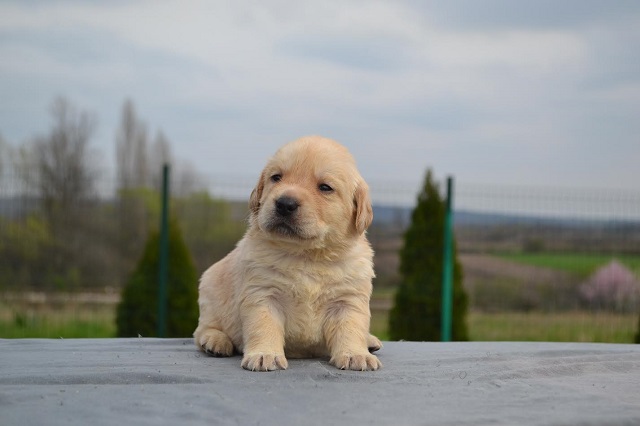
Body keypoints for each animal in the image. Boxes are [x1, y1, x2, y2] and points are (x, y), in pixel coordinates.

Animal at [192, 136, 382, 370]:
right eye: (276, 177)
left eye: (325, 187)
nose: (284, 203)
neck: (307, 255)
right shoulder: (263, 294)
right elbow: (264, 326)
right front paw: (265, 355)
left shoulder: (348, 299)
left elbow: (351, 328)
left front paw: (356, 354)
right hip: (210, 291)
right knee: (202, 330)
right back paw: (215, 341)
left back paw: (370, 341)